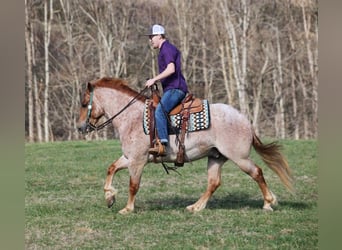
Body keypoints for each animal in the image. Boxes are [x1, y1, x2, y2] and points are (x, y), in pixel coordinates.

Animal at [77, 77, 294, 214]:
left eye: (84, 103)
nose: (80, 127)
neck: (132, 117)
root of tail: (245, 121)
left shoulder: (137, 161)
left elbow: (133, 185)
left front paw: (127, 208)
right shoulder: (129, 158)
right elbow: (111, 168)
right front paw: (109, 197)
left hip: (239, 158)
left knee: (257, 173)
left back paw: (268, 203)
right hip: (216, 157)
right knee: (214, 183)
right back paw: (196, 207)